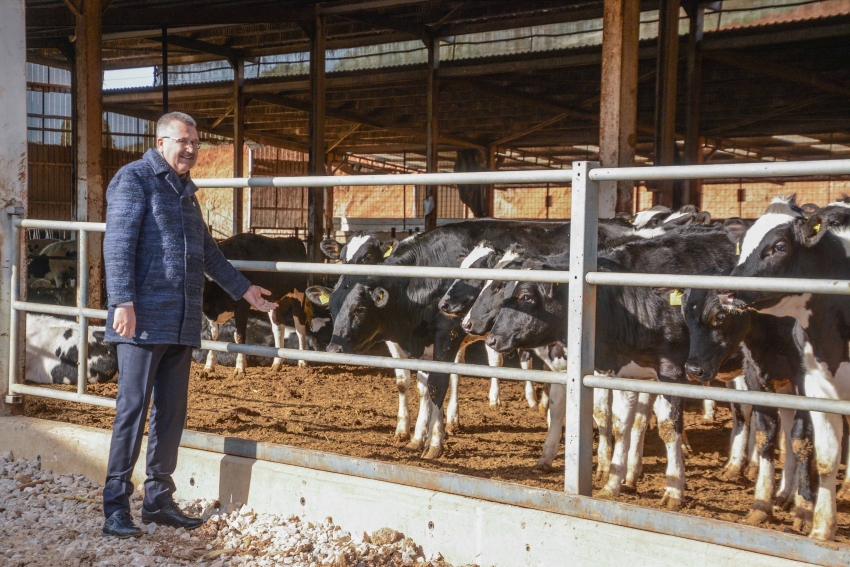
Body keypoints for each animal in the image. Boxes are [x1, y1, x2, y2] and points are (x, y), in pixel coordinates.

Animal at [201, 232, 308, 378]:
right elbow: (212, 337)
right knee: (278, 327)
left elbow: (239, 336)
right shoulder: (211, 313)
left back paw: (302, 361)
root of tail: (294, 240)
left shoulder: (242, 306)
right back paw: (277, 363)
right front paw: (209, 366)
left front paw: (240, 368)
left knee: (300, 327)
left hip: (298, 295)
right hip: (274, 300)